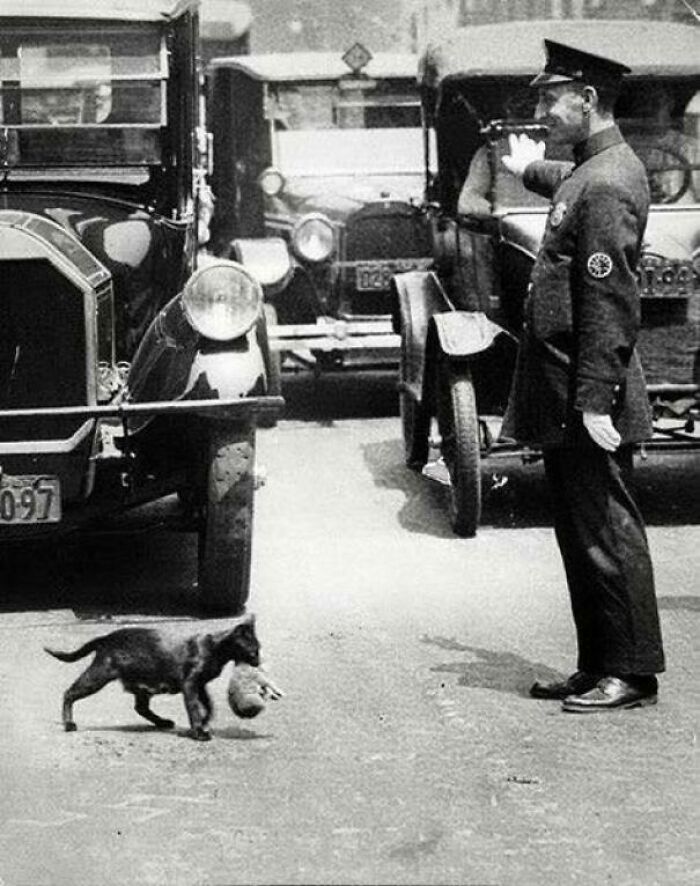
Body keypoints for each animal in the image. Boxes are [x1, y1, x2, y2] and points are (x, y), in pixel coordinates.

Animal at [43, 612, 266, 740]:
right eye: (254, 651)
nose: (258, 662)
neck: (215, 648)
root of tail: (106, 637)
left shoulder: (200, 684)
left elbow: (208, 705)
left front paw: (205, 721)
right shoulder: (190, 683)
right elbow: (193, 707)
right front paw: (198, 732)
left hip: (141, 684)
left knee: (140, 708)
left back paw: (162, 722)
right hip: (99, 675)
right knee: (69, 692)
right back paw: (69, 724)